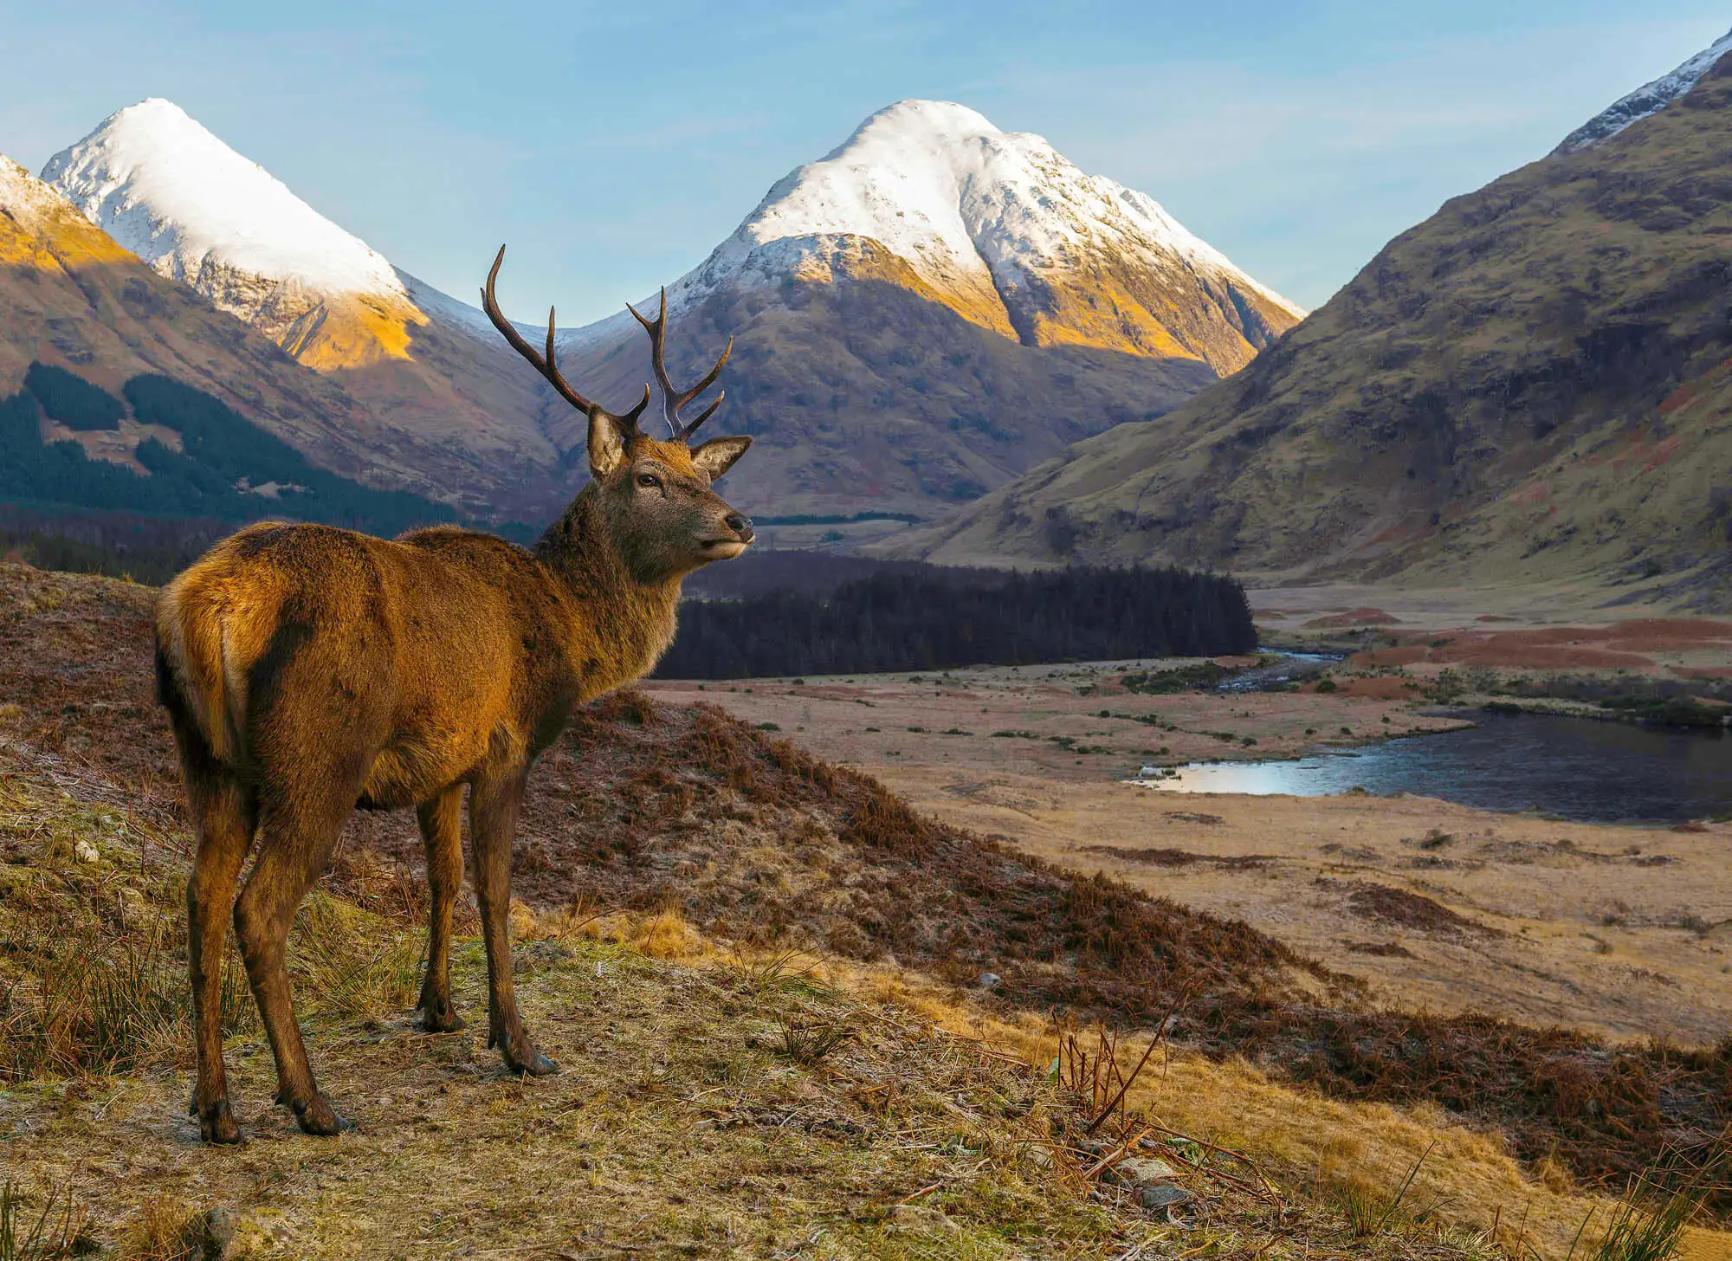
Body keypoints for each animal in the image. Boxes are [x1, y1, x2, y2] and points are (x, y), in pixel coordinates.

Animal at [154, 247, 753, 1143]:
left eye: (695, 470)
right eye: (649, 477)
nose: (738, 520)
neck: (572, 629)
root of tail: (208, 606)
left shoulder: (438, 763)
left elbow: (440, 877)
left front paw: (438, 1007)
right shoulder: (506, 745)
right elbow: (495, 889)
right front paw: (520, 1043)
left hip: (210, 763)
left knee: (199, 895)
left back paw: (216, 1106)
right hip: (316, 756)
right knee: (257, 908)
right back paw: (309, 1098)